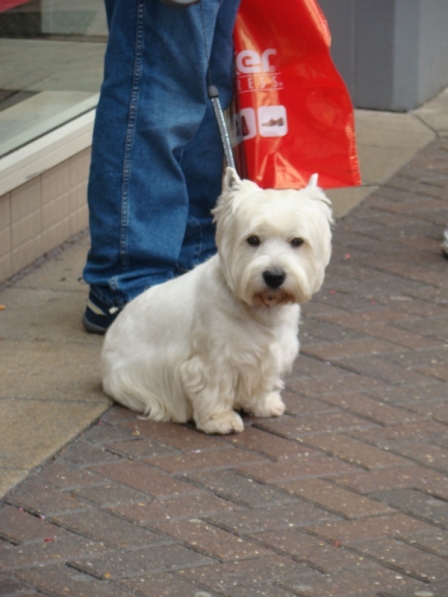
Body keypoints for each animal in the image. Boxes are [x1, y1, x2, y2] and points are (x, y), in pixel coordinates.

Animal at [101, 168, 332, 434]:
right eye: (253, 240)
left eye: (297, 241)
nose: (274, 276)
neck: (259, 309)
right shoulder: (214, 359)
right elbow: (215, 389)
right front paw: (220, 421)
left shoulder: (268, 356)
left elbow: (262, 382)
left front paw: (263, 405)